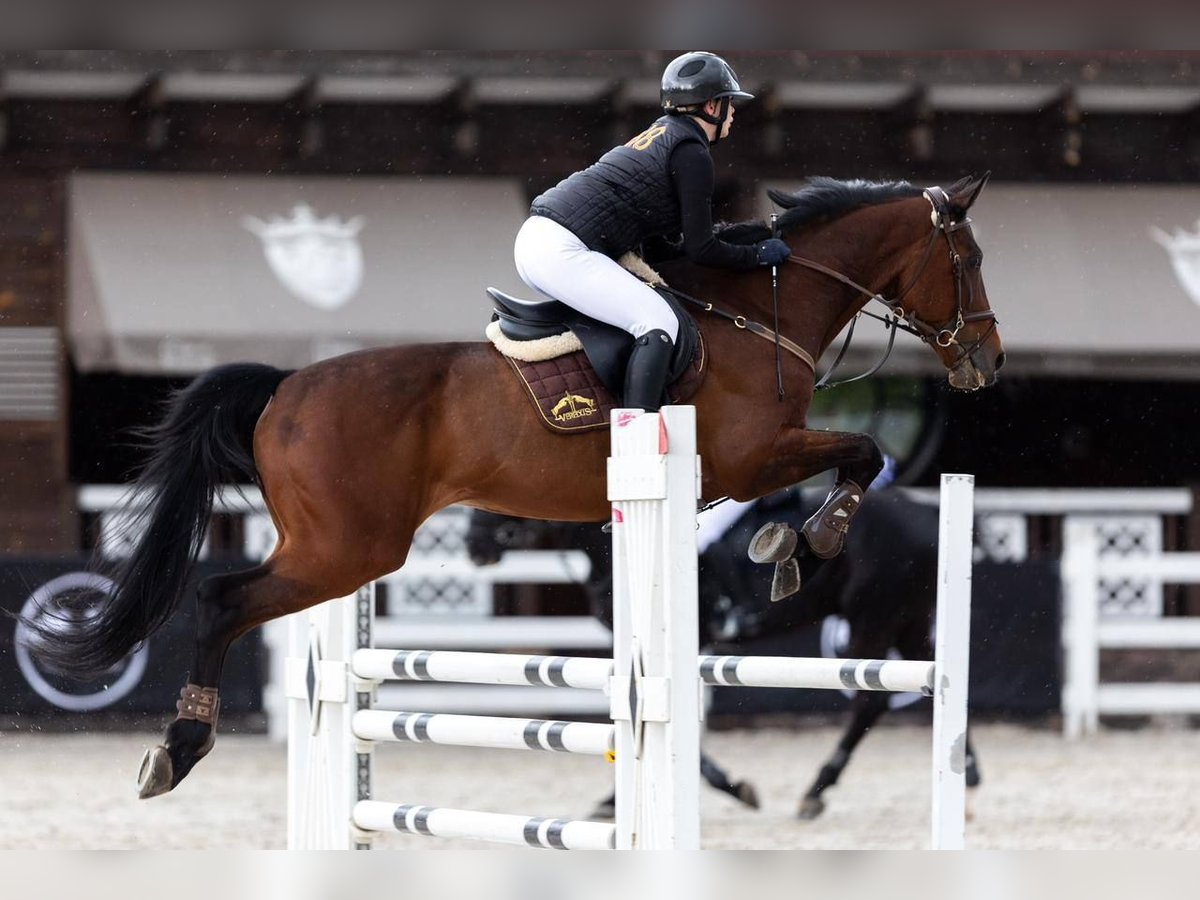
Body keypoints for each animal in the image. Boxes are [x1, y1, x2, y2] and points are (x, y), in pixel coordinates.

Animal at [463, 487, 979, 825]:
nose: (474, 547)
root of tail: (927, 515)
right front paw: (616, 799)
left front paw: (734, 789)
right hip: (908, 622)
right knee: (939, 688)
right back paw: (968, 778)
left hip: (874, 621)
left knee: (870, 701)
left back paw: (816, 792)